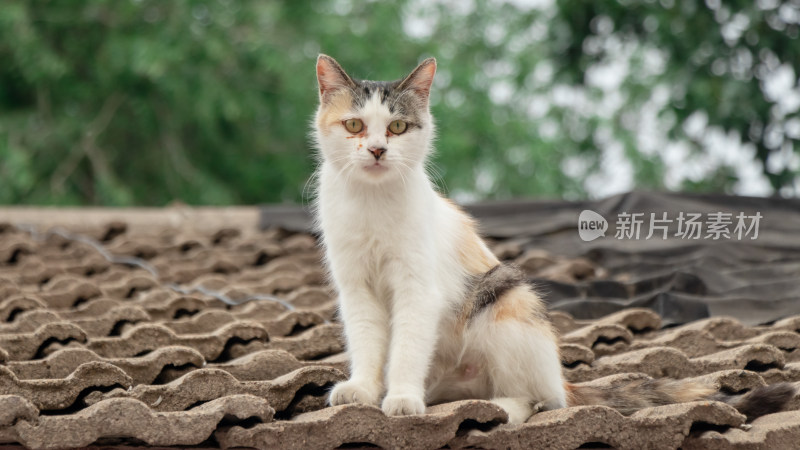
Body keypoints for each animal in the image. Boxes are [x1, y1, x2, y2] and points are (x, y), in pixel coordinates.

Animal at [310, 54, 792, 424]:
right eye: (354, 125)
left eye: (396, 128)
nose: (377, 150)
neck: (373, 203)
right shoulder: (356, 288)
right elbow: (368, 343)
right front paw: (364, 390)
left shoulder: (418, 288)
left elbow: (408, 346)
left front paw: (403, 398)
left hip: (505, 300)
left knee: (538, 398)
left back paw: (497, 408)